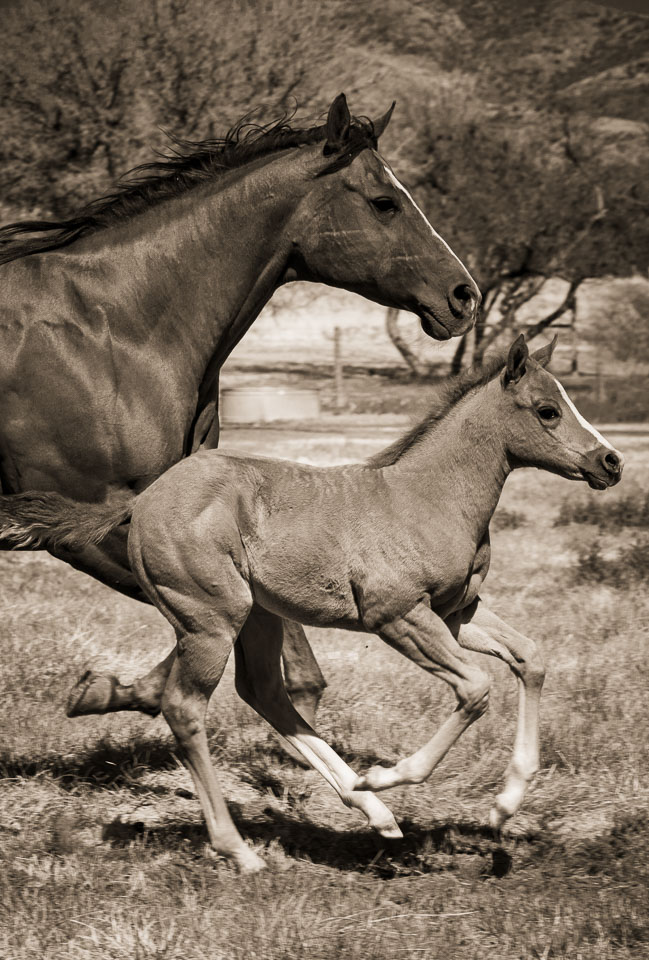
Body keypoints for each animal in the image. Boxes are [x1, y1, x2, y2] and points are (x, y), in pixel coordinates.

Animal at [0, 93, 480, 731]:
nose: (465, 297)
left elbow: (276, 641)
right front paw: (108, 690)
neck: (112, 332)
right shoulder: (84, 525)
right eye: (385, 203)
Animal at [0, 335, 623, 872]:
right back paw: (246, 848)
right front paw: (390, 774)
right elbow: (475, 688)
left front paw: (505, 802)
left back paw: (372, 811)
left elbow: (531, 658)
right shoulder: (398, 617)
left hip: (257, 616)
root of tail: (143, 500)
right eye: (547, 410)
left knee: (264, 693)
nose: (611, 462)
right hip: (211, 620)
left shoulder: (457, 614)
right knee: (186, 709)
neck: (429, 496)